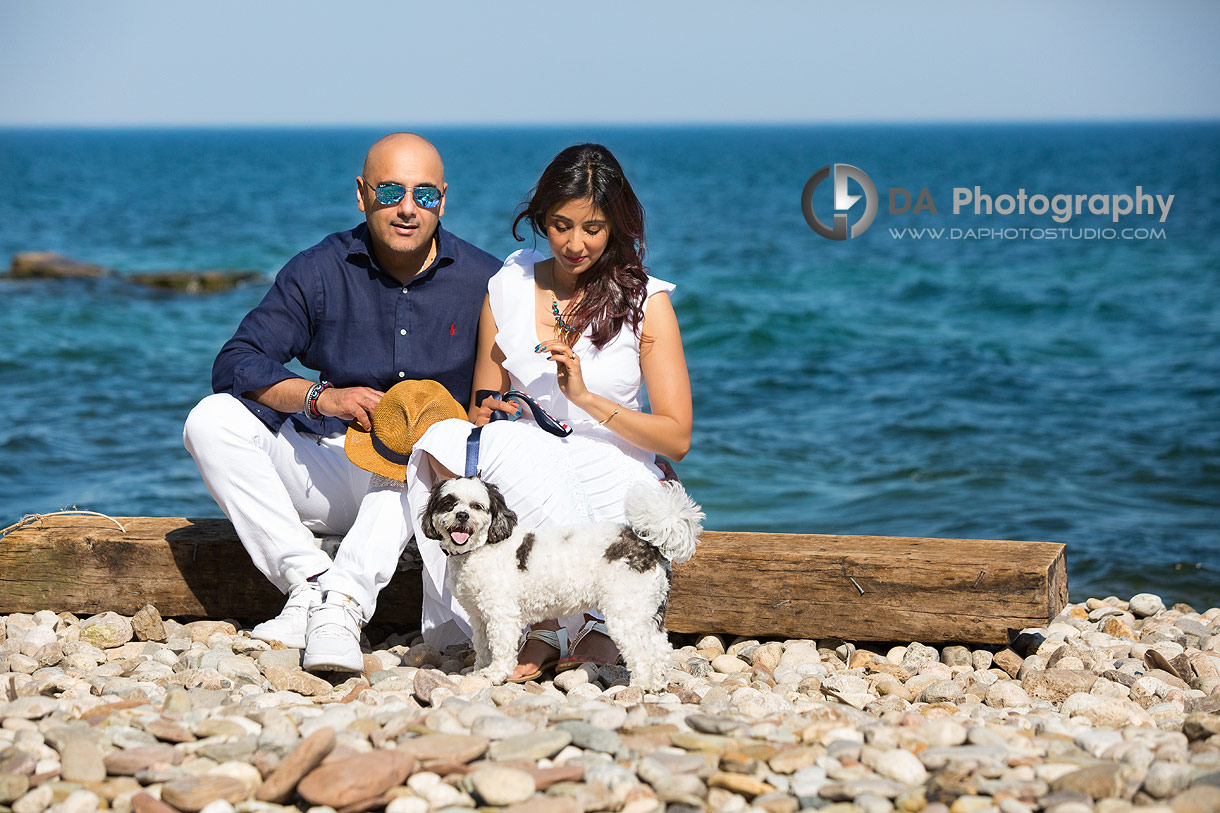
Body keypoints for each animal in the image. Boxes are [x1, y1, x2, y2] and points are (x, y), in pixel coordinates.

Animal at [422, 476, 702, 688]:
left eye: (477, 506)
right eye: (448, 503)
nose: (462, 515)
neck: (480, 548)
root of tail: (647, 544)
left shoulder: (502, 615)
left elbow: (501, 648)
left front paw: (496, 674)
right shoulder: (479, 616)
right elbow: (482, 646)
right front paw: (480, 670)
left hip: (626, 615)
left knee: (643, 654)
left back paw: (639, 687)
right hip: (647, 612)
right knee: (661, 649)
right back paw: (657, 683)